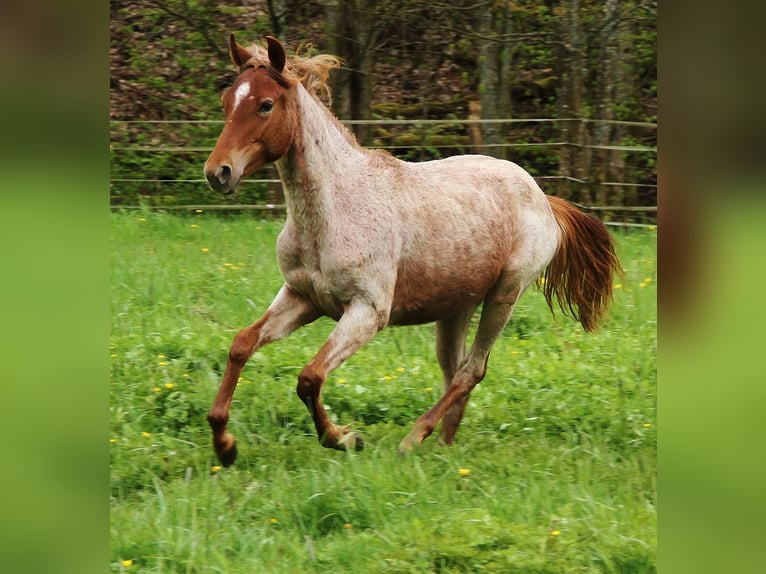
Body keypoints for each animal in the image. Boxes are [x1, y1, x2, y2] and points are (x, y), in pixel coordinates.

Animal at [204, 35, 624, 468]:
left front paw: (345, 438)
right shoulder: (302, 298)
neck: (335, 209)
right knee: (455, 369)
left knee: (471, 370)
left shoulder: (368, 311)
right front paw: (225, 445)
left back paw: (414, 439)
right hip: (457, 307)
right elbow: (241, 345)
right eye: (226, 101)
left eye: (265, 104)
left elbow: (310, 377)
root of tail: (543, 198)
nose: (218, 173)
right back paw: (444, 446)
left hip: (506, 294)